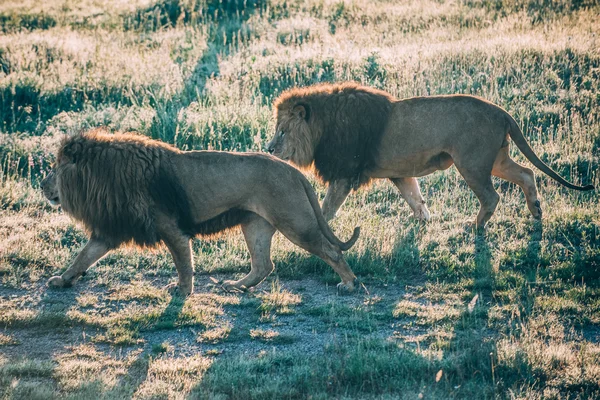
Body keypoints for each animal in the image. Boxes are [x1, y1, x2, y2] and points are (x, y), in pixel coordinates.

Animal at [42, 130, 360, 296]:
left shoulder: (171, 228)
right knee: (263, 265)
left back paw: (349, 283)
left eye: (55, 169)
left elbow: (183, 263)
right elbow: (83, 256)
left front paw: (182, 291)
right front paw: (63, 280)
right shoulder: (109, 229)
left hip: (295, 222)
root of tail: (294, 171)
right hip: (255, 225)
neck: (104, 177)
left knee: (332, 251)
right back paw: (236, 286)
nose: (41, 185)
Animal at [268, 81, 596, 228]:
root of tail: (502, 112)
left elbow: (326, 209)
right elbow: (415, 198)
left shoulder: (345, 174)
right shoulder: (400, 173)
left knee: (492, 196)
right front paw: (424, 221)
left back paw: (476, 227)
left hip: (471, 163)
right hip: (496, 159)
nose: (269, 148)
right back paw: (536, 211)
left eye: (282, 130)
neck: (322, 127)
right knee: (527, 173)